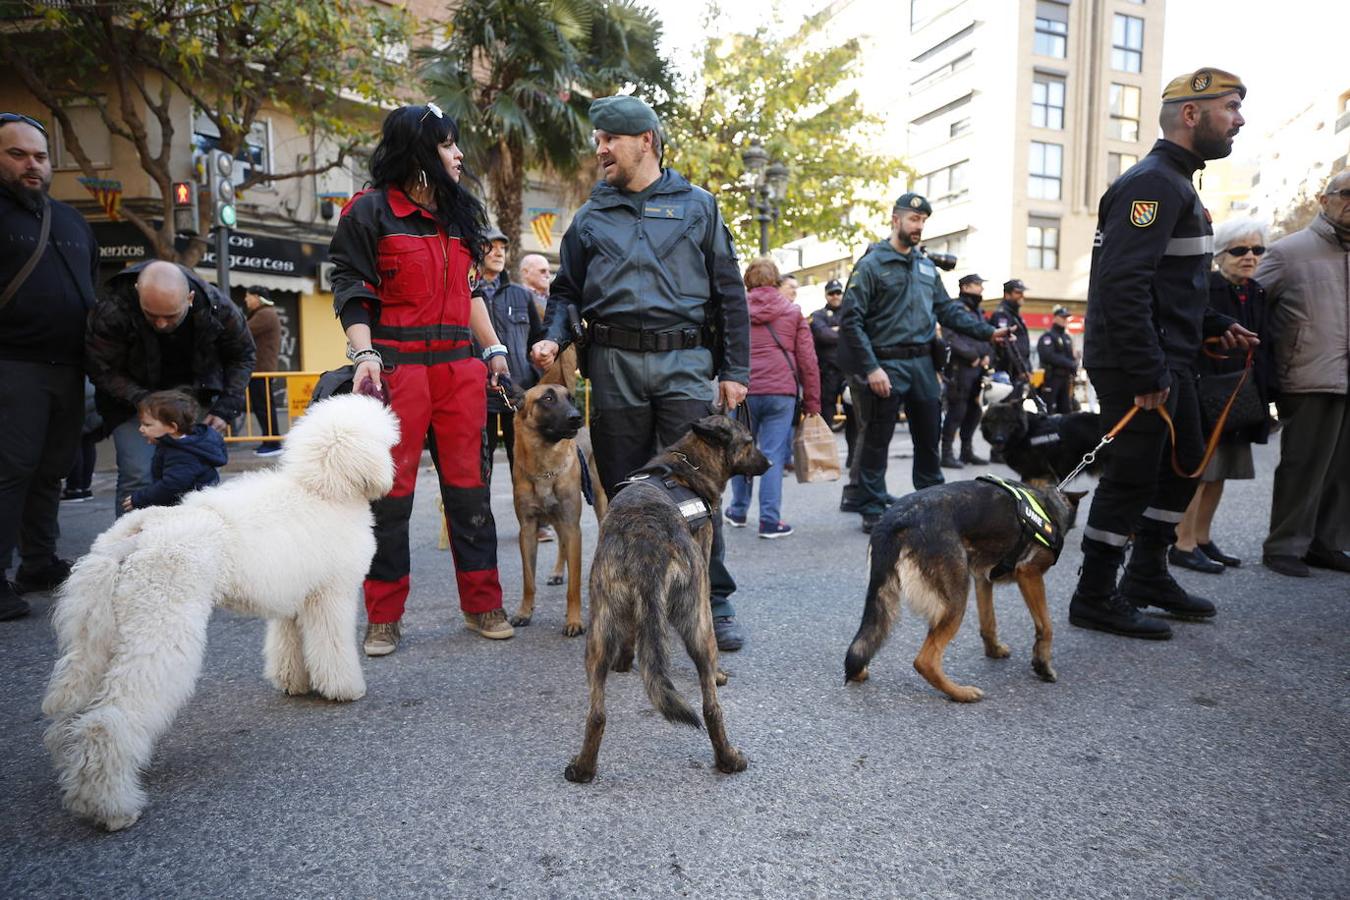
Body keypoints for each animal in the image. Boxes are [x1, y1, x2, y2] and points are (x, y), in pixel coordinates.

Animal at [42, 394, 396, 831]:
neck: (323, 490)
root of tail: (139, 530)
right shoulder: (331, 594)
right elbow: (332, 647)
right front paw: (345, 689)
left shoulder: (293, 599)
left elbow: (287, 645)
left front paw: (293, 682)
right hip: (159, 627)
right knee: (106, 722)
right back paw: (112, 807)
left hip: (101, 631)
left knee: (71, 717)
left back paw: (77, 787)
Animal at [510, 383, 607, 636]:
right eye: (547, 398)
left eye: (571, 398)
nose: (576, 417)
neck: (543, 466)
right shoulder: (527, 530)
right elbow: (528, 580)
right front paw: (524, 612)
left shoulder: (573, 526)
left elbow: (574, 586)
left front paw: (574, 621)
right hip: (556, 519)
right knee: (562, 544)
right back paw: (556, 572)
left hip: (598, 504)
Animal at [561, 415, 772, 782]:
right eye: (749, 442)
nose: (770, 463)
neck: (688, 462)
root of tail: (646, 543)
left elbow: (632, 636)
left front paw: (625, 660)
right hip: (699, 622)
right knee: (711, 702)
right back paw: (728, 752)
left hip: (599, 632)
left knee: (598, 713)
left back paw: (584, 767)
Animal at [842, 477, 1085, 701]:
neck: (1051, 503)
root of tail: (896, 519)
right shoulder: (1029, 573)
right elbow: (1046, 626)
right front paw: (1043, 665)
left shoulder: (982, 579)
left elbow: (989, 623)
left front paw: (994, 650)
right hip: (956, 599)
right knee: (925, 661)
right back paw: (961, 693)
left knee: (863, 644)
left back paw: (860, 671)